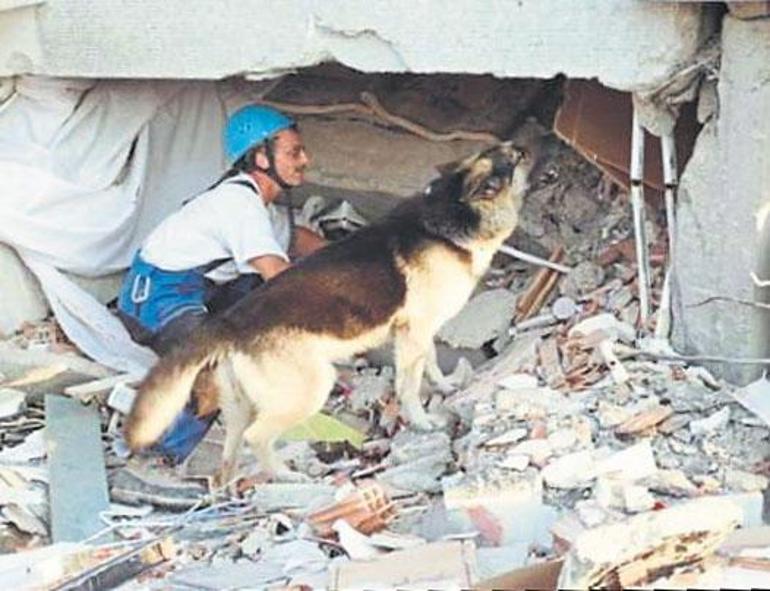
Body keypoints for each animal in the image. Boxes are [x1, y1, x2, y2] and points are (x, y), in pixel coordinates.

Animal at [124, 143, 528, 486]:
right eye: (513, 159)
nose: (525, 148)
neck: (450, 213)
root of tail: (228, 324)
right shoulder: (415, 330)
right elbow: (410, 385)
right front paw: (422, 421)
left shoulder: (417, 331)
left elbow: (429, 362)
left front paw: (444, 386)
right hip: (310, 388)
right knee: (258, 435)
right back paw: (286, 476)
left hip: (238, 408)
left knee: (231, 449)